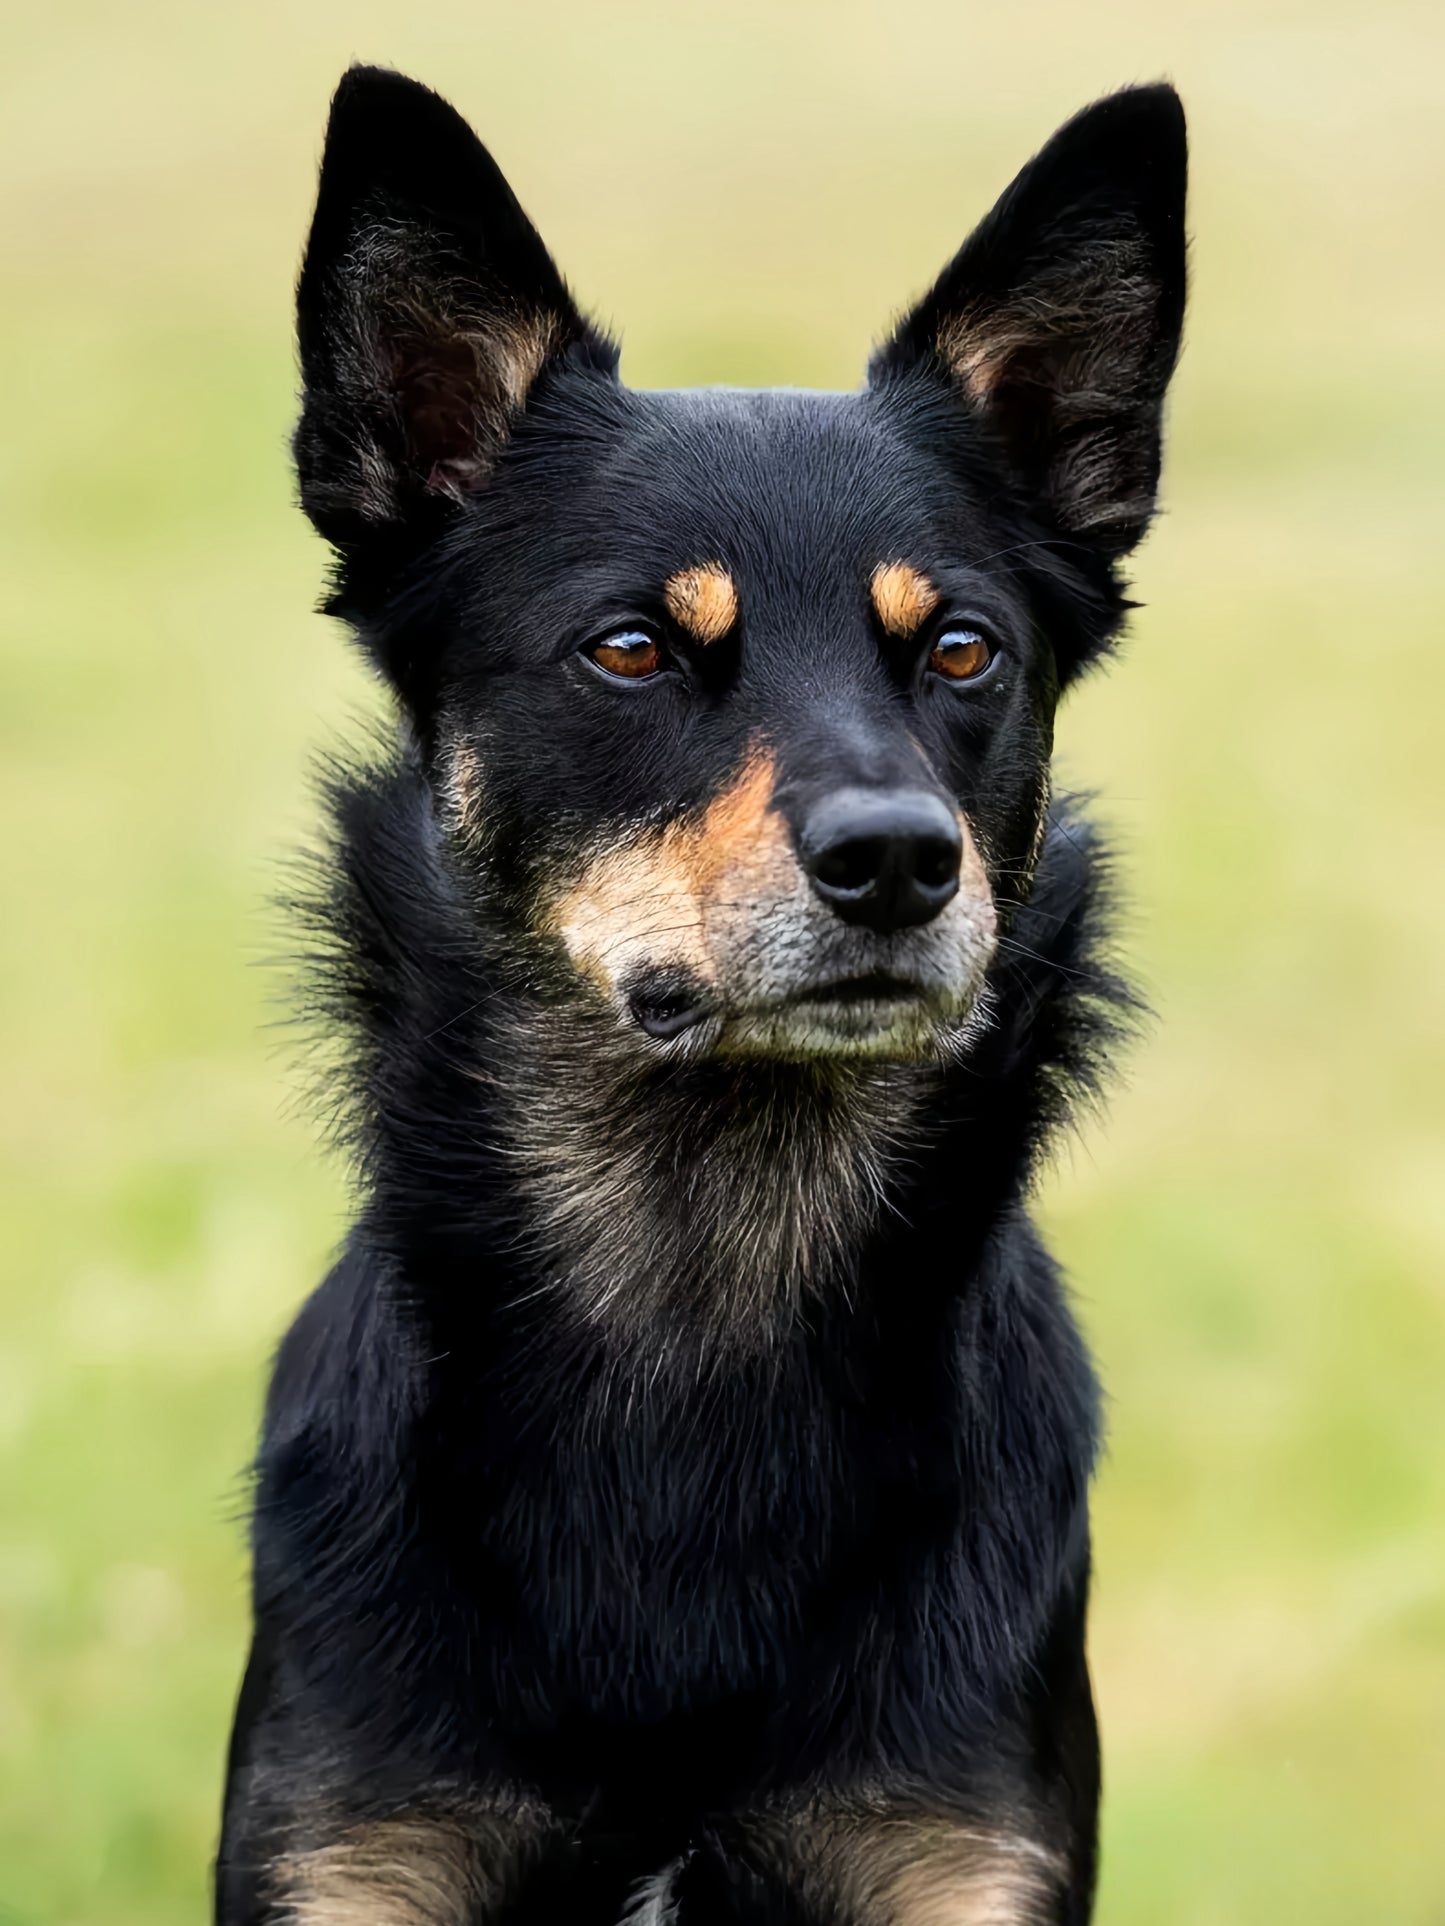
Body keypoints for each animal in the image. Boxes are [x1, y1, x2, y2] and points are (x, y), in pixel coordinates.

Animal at [214, 67, 1186, 1926]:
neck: (700, 1296)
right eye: (631, 650)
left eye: (963, 650)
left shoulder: (952, 1850)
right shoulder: (361, 1847)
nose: (899, 862)